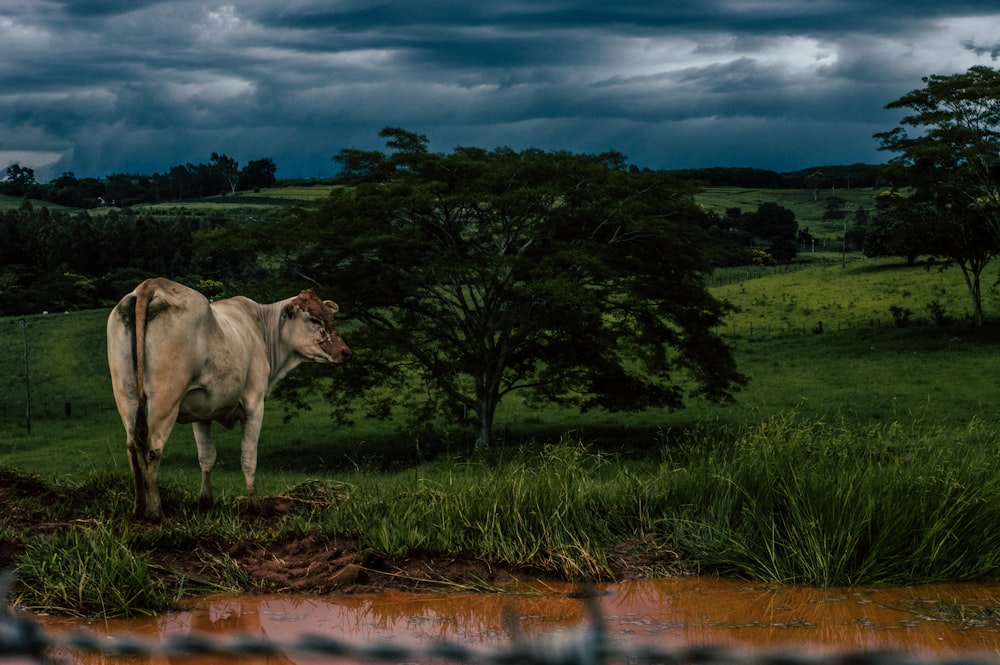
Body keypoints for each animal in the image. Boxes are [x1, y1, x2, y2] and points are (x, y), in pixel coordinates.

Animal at [107, 278, 350, 520]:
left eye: (330, 317)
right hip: (165, 399)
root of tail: (152, 284)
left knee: (133, 448)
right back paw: (156, 512)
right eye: (314, 319)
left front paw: (205, 502)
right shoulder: (254, 405)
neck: (261, 329)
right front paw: (255, 507)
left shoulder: (201, 413)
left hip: (125, 394)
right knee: (152, 450)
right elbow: (248, 458)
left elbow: (207, 456)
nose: (346, 352)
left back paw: (138, 508)